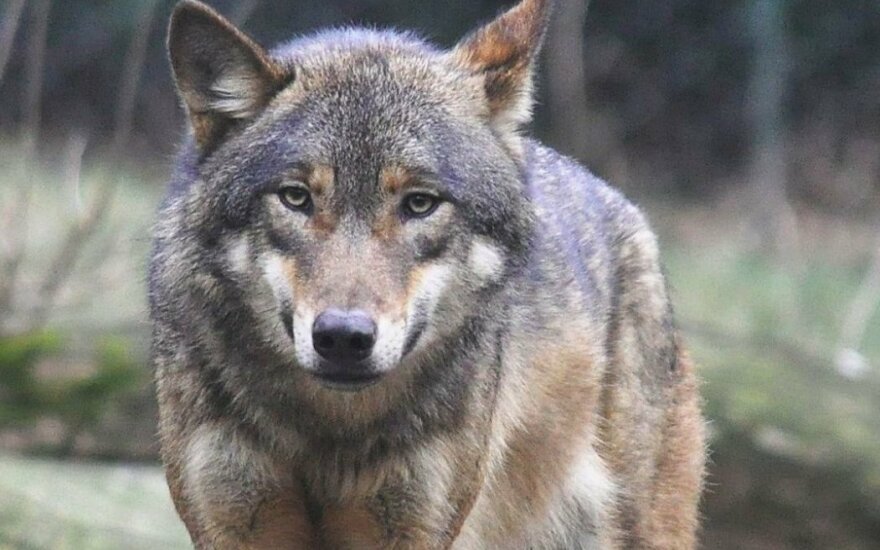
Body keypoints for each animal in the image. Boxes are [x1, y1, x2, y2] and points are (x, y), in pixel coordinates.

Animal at [149, 0, 705, 548]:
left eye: (419, 203)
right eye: (296, 197)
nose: (343, 337)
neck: (332, 429)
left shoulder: (417, 525)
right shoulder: (231, 520)